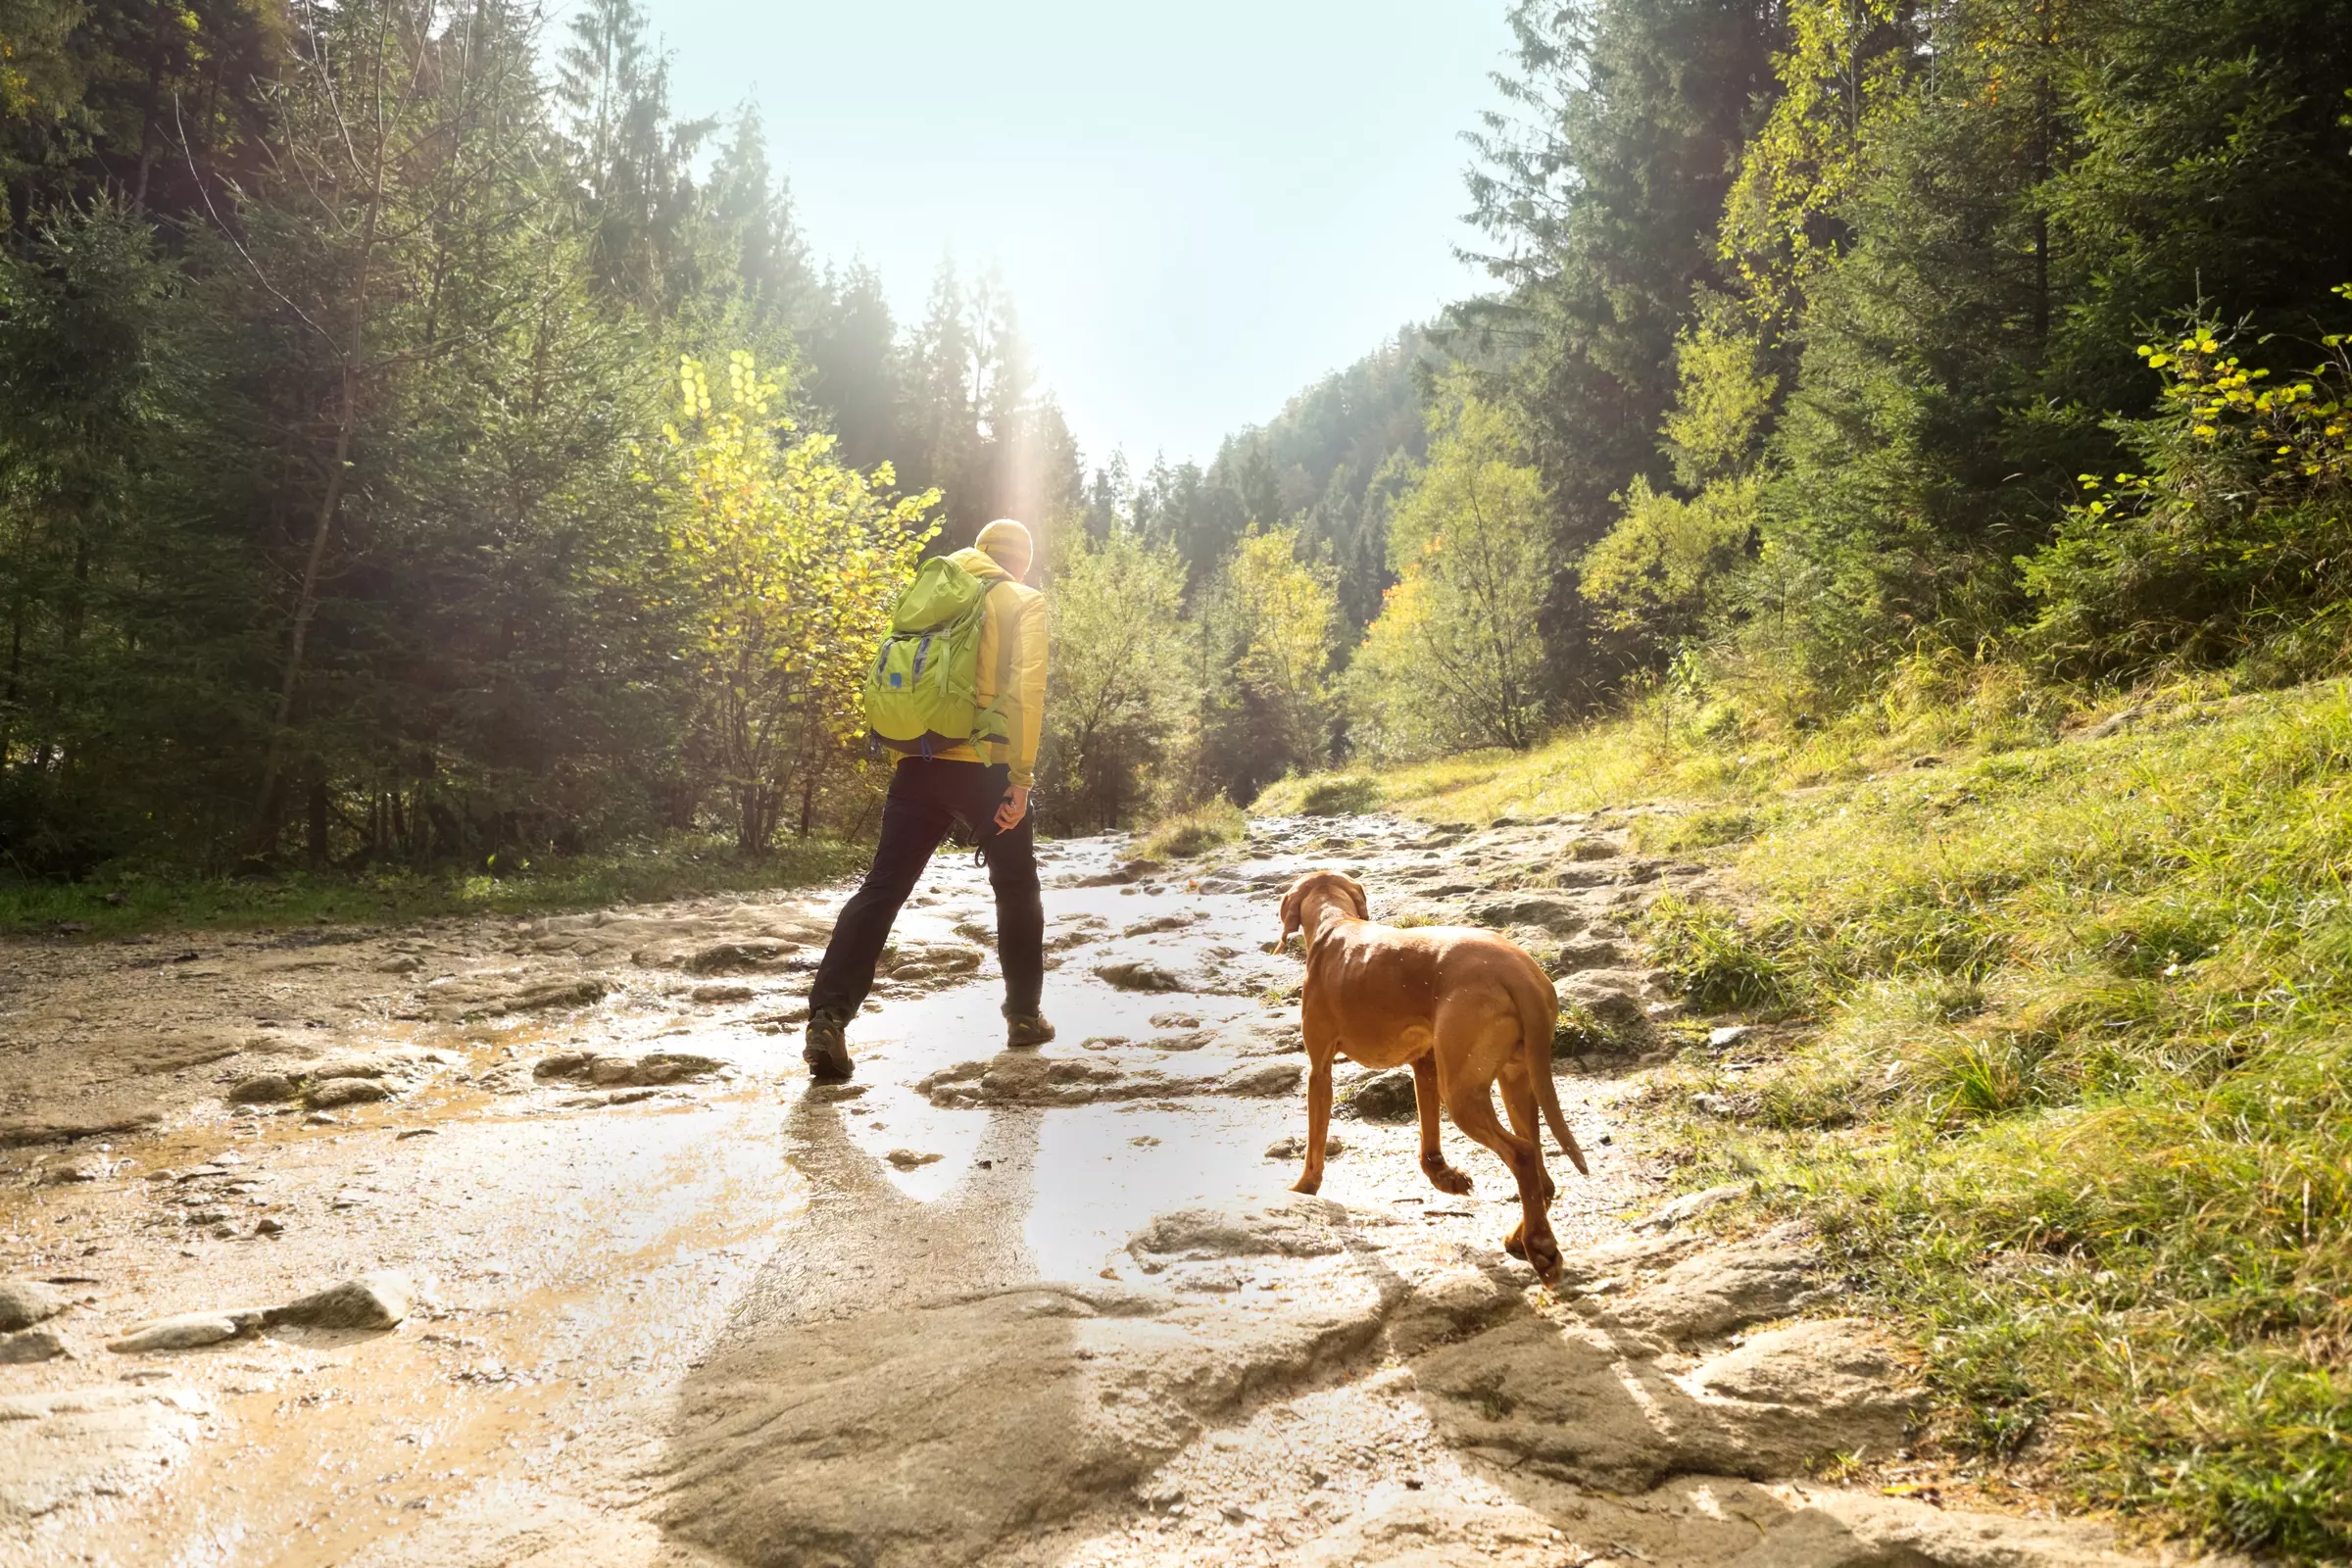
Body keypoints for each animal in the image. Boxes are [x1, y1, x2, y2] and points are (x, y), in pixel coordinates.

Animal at [1279, 869, 1590, 1288]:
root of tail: (1519, 972)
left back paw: (1540, 1248)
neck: (1335, 921)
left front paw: (1304, 1188)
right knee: (1541, 1169)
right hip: (1514, 1079)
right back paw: (1521, 1237)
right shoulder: (1425, 1066)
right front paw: (1446, 1177)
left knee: (1522, 1155)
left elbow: (1315, 1141)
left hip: (1461, 1094)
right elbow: (1429, 1142)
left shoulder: (1319, 1070)